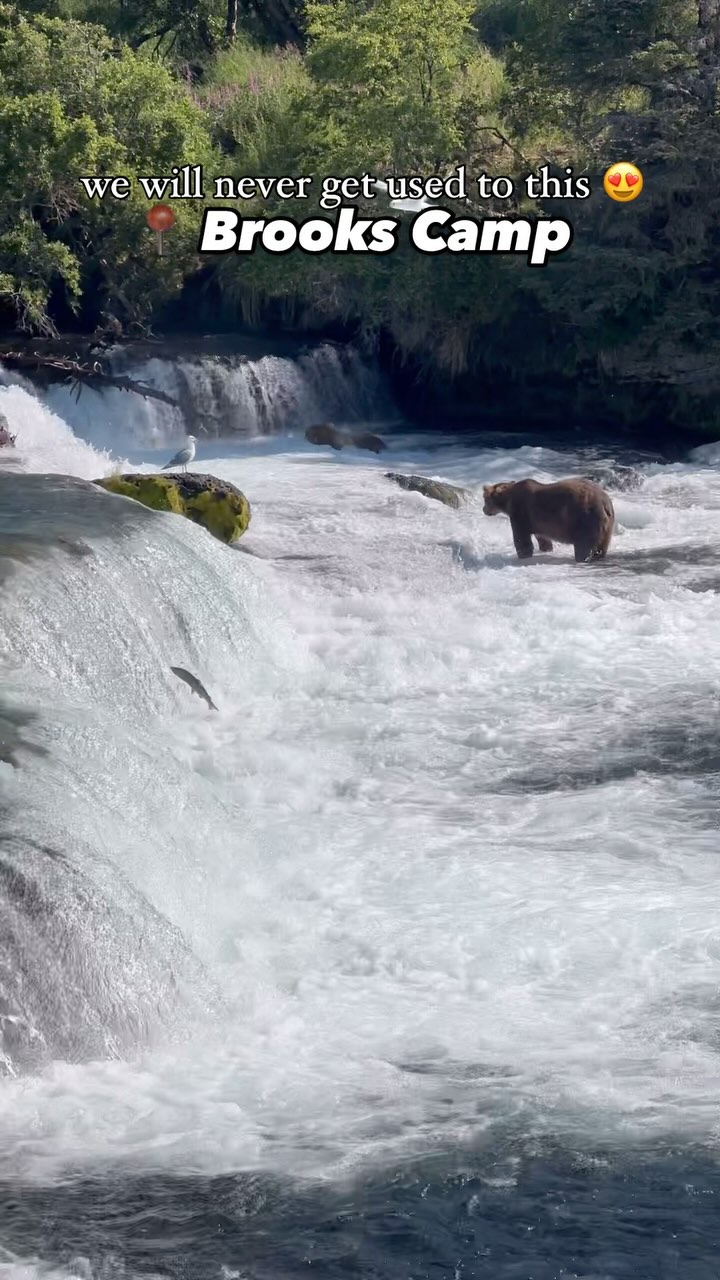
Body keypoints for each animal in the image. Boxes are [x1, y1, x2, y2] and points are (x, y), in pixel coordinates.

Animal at [482, 477, 615, 562]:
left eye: (485, 499)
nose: (484, 510)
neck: (508, 501)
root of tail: (604, 501)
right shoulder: (538, 522)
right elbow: (543, 538)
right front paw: (546, 549)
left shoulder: (520, 512)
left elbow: (521, 538)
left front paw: (523, 555)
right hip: (607, 523)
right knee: (602, 545)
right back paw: (598, 557)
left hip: (584, 518)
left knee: (584, 544)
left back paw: (582, 558)